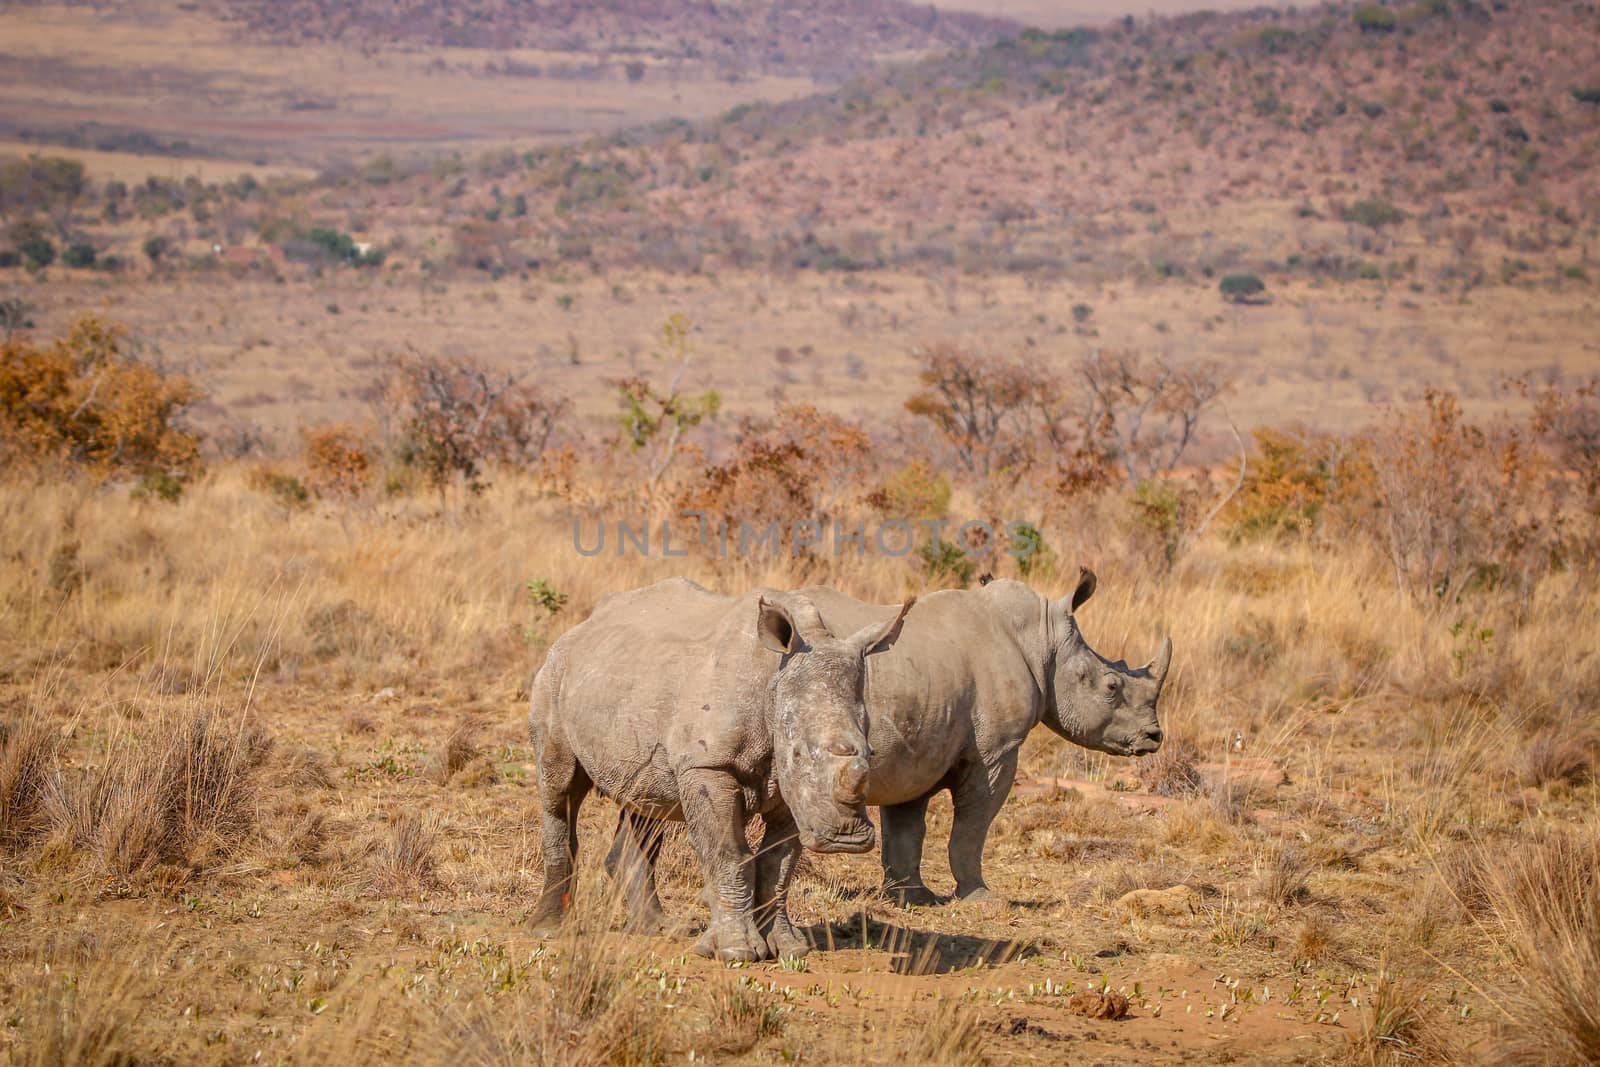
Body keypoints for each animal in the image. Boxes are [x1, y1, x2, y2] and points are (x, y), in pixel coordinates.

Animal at [521, 579, 908, 966]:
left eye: (871, 753)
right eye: (797, 754)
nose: (847, 838)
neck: (774, 679)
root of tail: (581, 626)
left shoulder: (792, 793)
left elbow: (778, 865)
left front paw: (788, 948)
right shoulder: (707, 766)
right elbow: (728, 854)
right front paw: (735, 951)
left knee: (645, 804)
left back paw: (657, 929)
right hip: (554, 674)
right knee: (560, 790)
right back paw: (548, 929)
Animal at [796, 572, 1164, 908]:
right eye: (1112, 687)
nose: (1154, 737)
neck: (1041, 640)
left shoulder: (916, 746)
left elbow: (906, 827)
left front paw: (912, 897)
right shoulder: (997, 750)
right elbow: (972, 827)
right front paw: (982, 898)